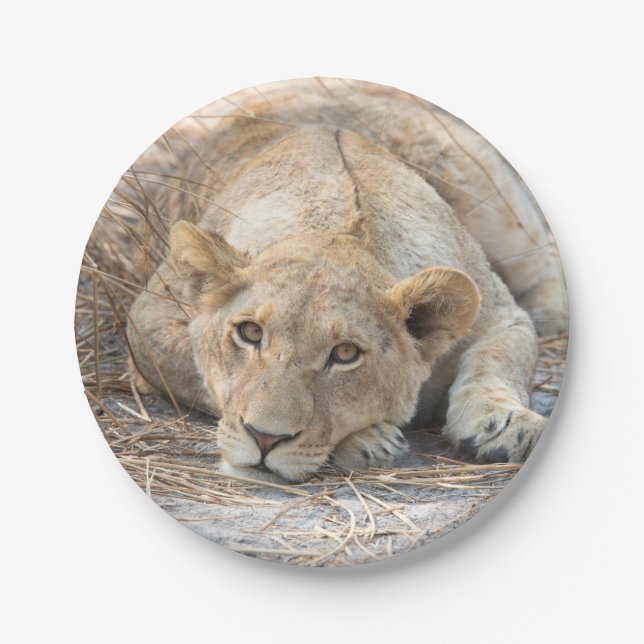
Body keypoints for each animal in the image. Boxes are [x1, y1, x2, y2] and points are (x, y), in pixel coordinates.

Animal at [124, 78, 567, 482]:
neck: (337, 225)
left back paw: (553, 315)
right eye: (249, 333)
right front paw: (370, 439)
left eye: (345, 354)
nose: (265, 438)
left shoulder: (501, 314)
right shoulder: (148, 321)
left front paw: (506, 424)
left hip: (501, 214)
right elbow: (201, 373)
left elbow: (499, 361)